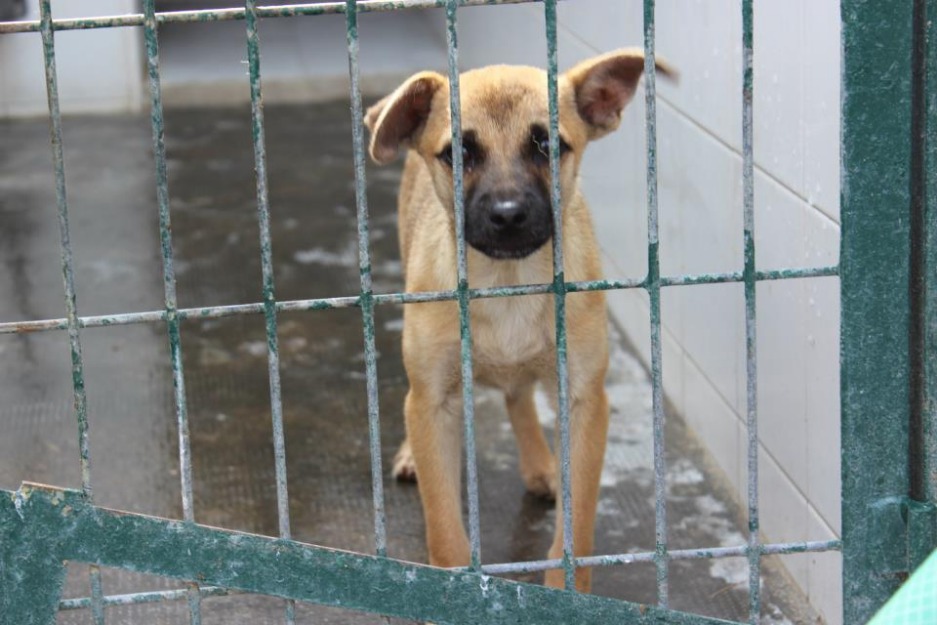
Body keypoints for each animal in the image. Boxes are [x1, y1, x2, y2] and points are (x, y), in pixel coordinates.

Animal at [362, 48, 668, 588]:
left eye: (548, 144)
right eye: (457, 153)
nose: (507, 215)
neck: (508, 282)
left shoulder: (585, 402)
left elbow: (576, 530)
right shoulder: (434, 403)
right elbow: (445, 531)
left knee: (518, 395)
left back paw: (540, 464)